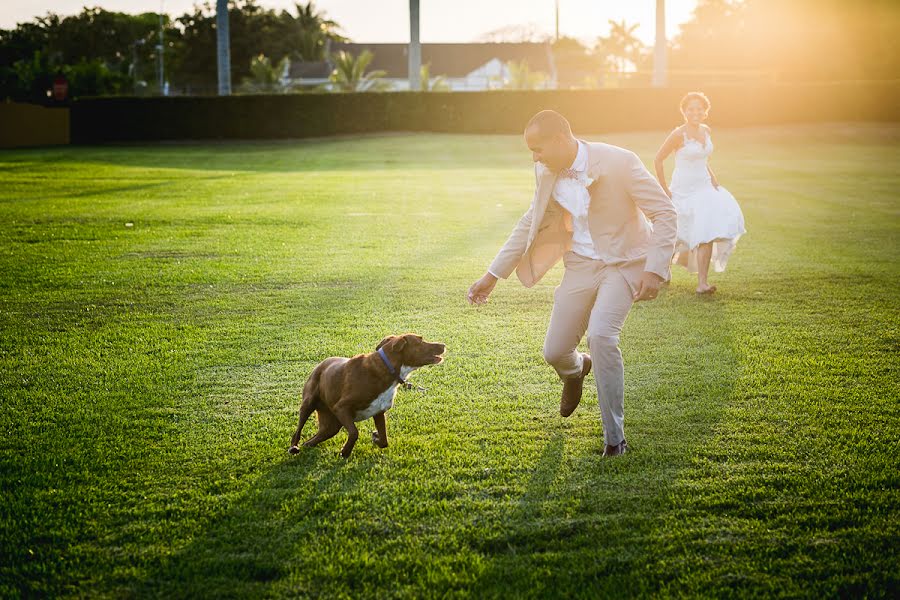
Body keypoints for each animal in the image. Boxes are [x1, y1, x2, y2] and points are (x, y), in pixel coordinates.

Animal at [290, 336, 444, 458]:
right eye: (421, 341)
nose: (443, 345)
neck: (387, 369)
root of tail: (321, 363)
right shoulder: (341, 408)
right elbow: (354, 432)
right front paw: (345, 452)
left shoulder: (379, 412)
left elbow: (384, 440)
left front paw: (376, 437)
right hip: (309, 403)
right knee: (298, 431)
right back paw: (293, 447)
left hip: (332, 424)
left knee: (316, 437)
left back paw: (306, 445)